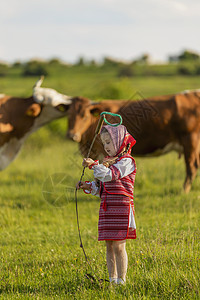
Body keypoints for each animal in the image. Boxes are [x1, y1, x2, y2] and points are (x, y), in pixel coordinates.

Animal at [67, 91, 200, 193]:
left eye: (84, 116)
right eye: (69, 116)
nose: (72, 135)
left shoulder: (101, 151)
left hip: (190, 140)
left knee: (191, 166)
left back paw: (184, 190)